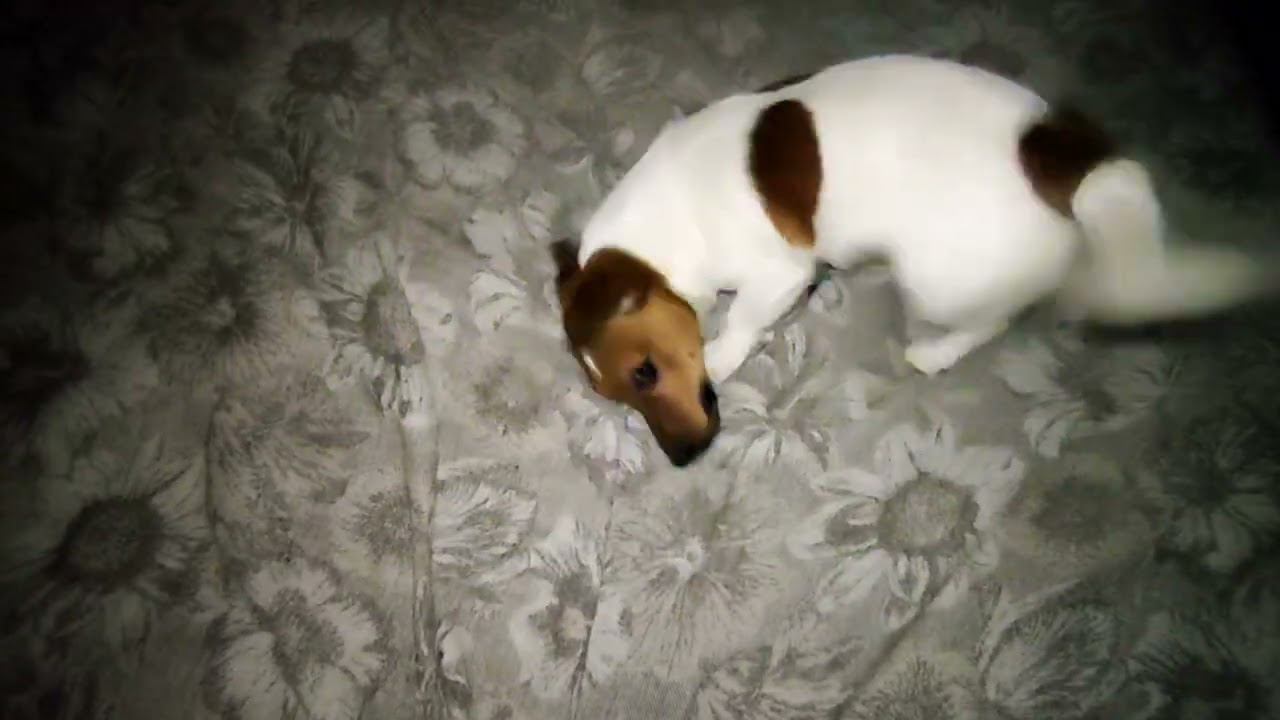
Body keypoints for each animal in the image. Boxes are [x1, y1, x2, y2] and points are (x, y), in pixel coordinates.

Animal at [551, 54, 1280, 467]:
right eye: (619, 393)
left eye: (646, 372)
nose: (683, 458)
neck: (664, 226)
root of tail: (1059, 155)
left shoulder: (778, 274)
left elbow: (742, 321)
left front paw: (723, 353)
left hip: (937, 281)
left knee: (996, 318)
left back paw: (935, 351)